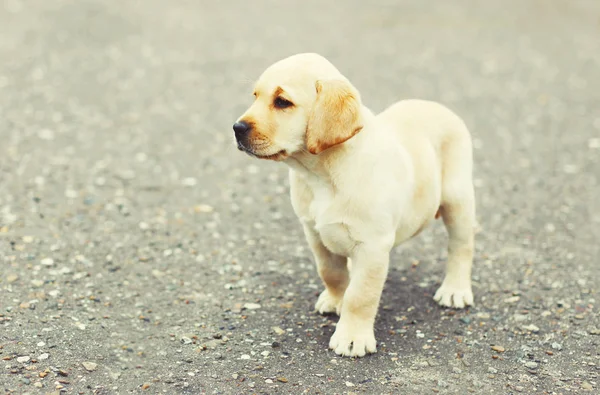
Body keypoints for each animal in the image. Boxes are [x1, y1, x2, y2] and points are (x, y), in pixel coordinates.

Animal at [232, 53, 476, 358]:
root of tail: (434, 105)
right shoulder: (315, 234)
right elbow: (331, 274)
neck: (321, 174)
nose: (237, 128)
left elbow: (361, 296)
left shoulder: (372, 246)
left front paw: (352, 337)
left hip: (458, 199)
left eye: (282, 102)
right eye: (255, 96)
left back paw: (455, 290)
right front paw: (336, 300)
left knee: (461, 247)